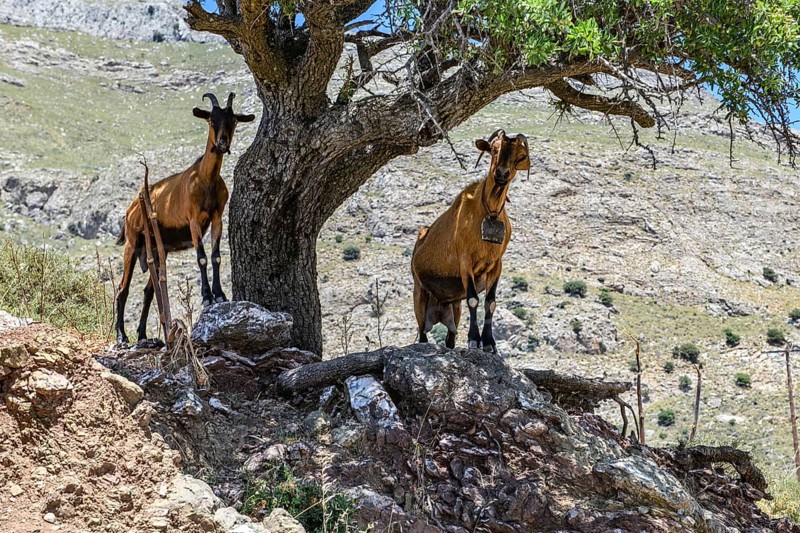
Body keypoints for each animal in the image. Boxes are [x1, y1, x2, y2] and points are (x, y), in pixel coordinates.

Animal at [114, 92, 255, 345]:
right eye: (211, 120)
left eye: (234, 121)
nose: (222, 143)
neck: (205, 180)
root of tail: (130, 210)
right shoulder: (193, 220)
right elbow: (202, 257)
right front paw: (207, 297)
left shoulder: (217, 218)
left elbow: (216, 256)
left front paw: (220, 295)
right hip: (132, 242)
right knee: (123, 288)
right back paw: (121, 335)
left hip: (158, 249)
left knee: (150, 290)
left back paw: (142, 334)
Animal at [411, 129, 530, 352]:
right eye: (494, 149)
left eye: (519, 156)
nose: (501, 174)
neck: (489, 213)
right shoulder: (466, 261)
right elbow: (474, 300)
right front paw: (474, 340)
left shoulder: (496, 265)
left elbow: (490, 302)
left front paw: (489, 343)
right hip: (419, 294)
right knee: (422, 334)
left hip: (453, 310)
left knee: (450, 337)